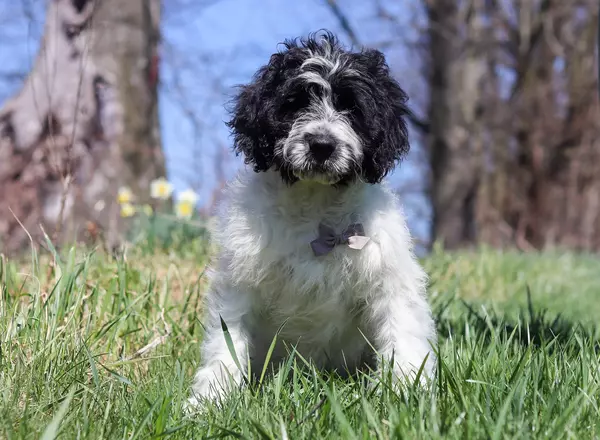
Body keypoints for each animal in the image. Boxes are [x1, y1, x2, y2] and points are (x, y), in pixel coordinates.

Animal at [190, 30, 438, 406]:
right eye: (294, 104)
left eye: (351, 107)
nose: (321, 144)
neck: (316, 207)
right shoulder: (241, 282)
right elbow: (227, 338)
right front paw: (210, 399)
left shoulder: (388, 276)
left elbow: (402, 329)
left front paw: (406, 390)